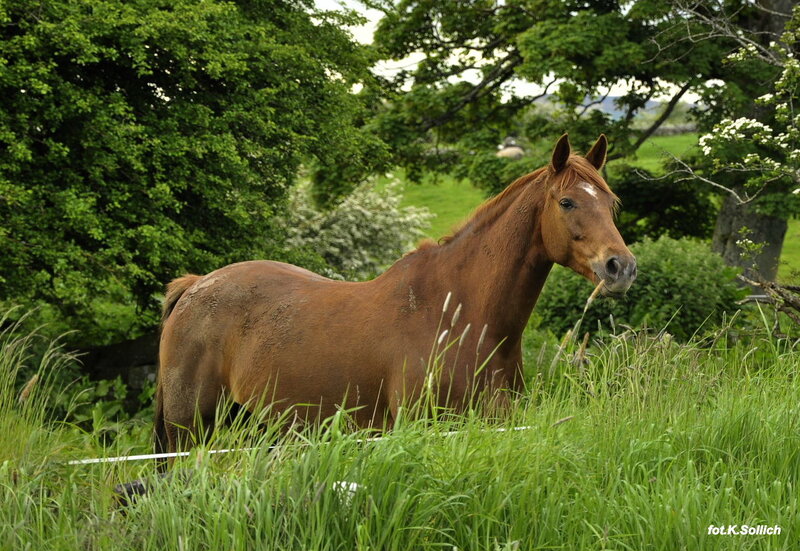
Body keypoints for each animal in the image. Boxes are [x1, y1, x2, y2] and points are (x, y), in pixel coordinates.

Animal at [154, 133, 637, 460]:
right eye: (567, 202)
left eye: (611, 203)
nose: (621, 267)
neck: (460, 317)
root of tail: (195, 286)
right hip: (189, 431)